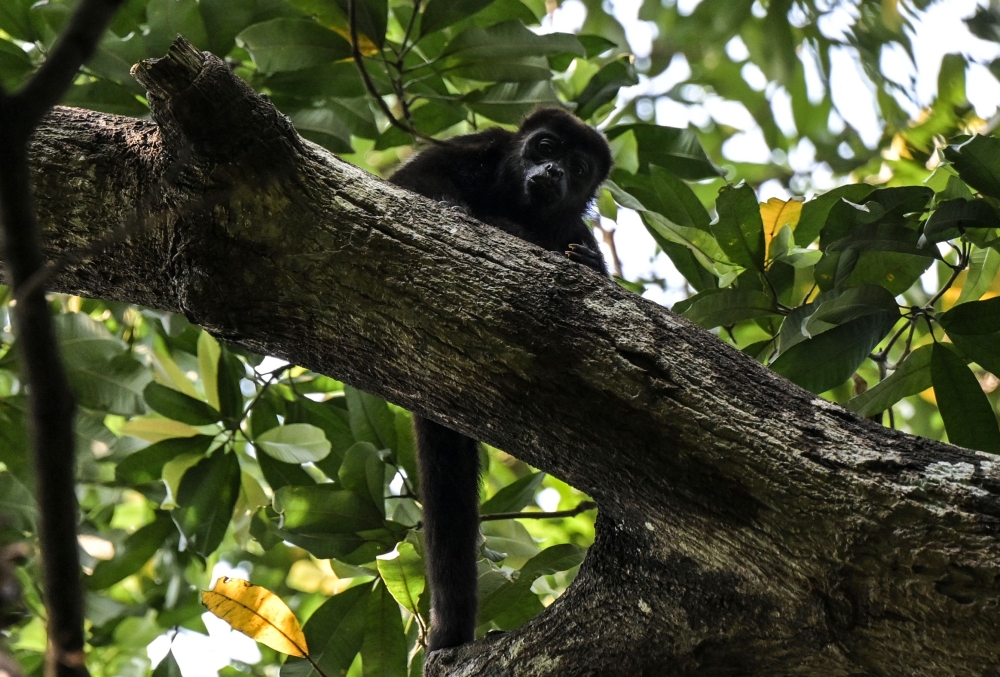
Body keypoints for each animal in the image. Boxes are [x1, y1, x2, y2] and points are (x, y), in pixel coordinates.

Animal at [389, 107, 612, 652]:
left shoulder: (575, 226)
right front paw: (458, 207)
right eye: (545, 147)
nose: (553, 171)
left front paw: (581, 262)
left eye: (577, 167)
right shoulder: (479, 145)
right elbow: (406, 183)